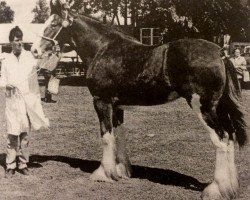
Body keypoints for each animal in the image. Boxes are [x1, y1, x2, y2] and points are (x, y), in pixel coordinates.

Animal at [31, 3, 248, 200]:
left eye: (54, 24)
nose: (33, 50)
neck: (103, 49)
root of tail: (219, 52)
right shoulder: (117, 106)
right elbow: (119, 134)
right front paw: (121, 170)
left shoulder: (101, 102)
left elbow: (106, 136)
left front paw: (103, 174)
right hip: (218, 108)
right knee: (230, 137)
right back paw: (230, 188)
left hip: (203, 107)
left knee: (221, 139)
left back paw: (216, 189)